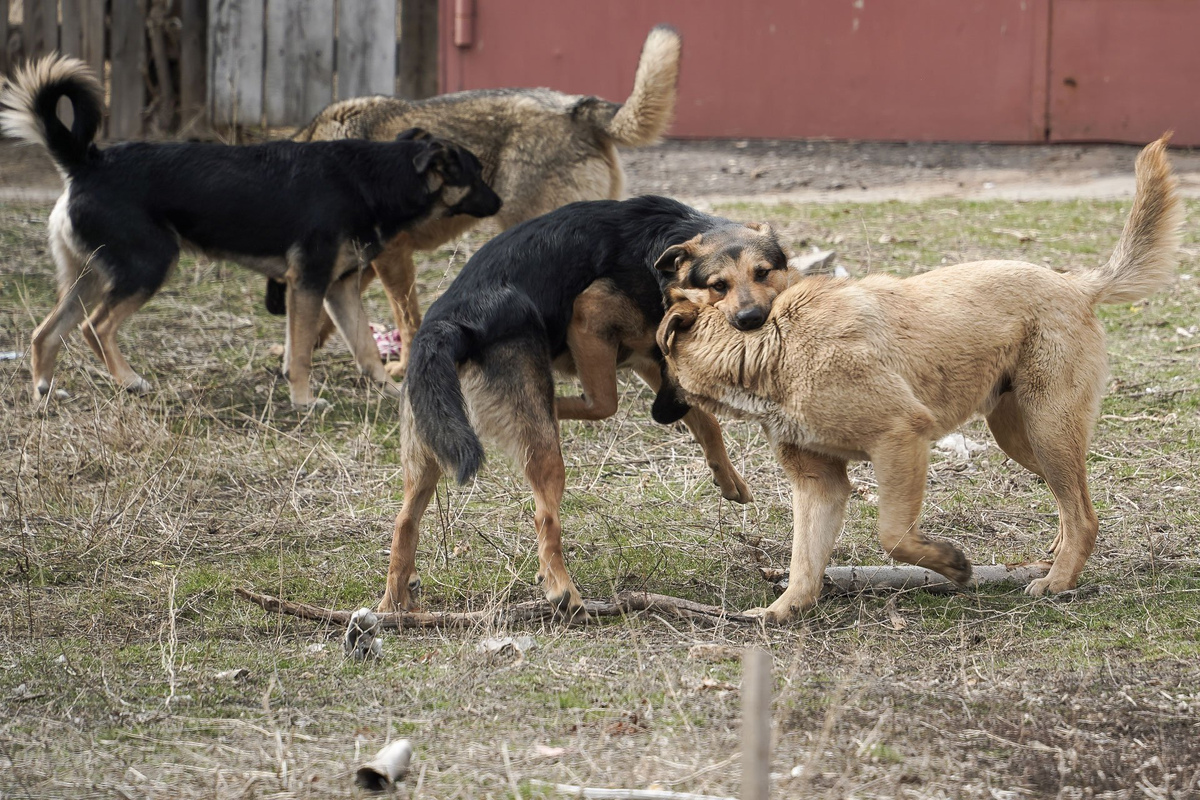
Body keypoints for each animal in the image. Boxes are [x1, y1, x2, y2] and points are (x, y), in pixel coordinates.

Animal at [2, 56, 499, 407]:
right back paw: (129, 381)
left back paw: (45, 391)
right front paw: (304, 400)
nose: (498, 203)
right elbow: (301, 353)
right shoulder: (309, 284)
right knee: (96, 327)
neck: (374, 180)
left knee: (46, 332)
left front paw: (391, 392)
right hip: (147, 265)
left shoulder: (338, 289)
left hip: (91, 275)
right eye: (476, 173)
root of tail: (86, 163)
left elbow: (365, 349)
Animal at [271, 25, 686, 376]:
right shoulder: (365, 263)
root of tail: (576, 109)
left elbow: (406, 318)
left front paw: (402, 367)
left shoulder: (392, 258)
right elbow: (327, 314)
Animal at [379, 195, 801, 618]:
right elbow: (604, 404)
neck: (666, 252)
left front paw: (728, 479)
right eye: (718, 285)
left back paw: (392, 604)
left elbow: (704, 421)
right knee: (544, 515)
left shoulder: (649, 357)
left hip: (429, 442)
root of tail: (449, 325)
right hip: (539, 447)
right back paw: (562, 589)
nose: (751, 319)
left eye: (762, 273)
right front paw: (559, 403)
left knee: (404, 520)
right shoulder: (589, 314)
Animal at [657, 136, 1180, 623]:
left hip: (1048, 429)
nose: (657, 413)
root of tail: (1075, 284)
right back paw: (1057, 553)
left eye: (661, 360)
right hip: (1023, 436)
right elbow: (804, 559)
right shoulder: (819, 482)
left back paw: (1058, 580)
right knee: (1076, 502)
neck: (773, 344)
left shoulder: (901, 437)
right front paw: (783, 610)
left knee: (1084, 514)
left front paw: (952, 565)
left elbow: (893, 536)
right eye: (718, 285)